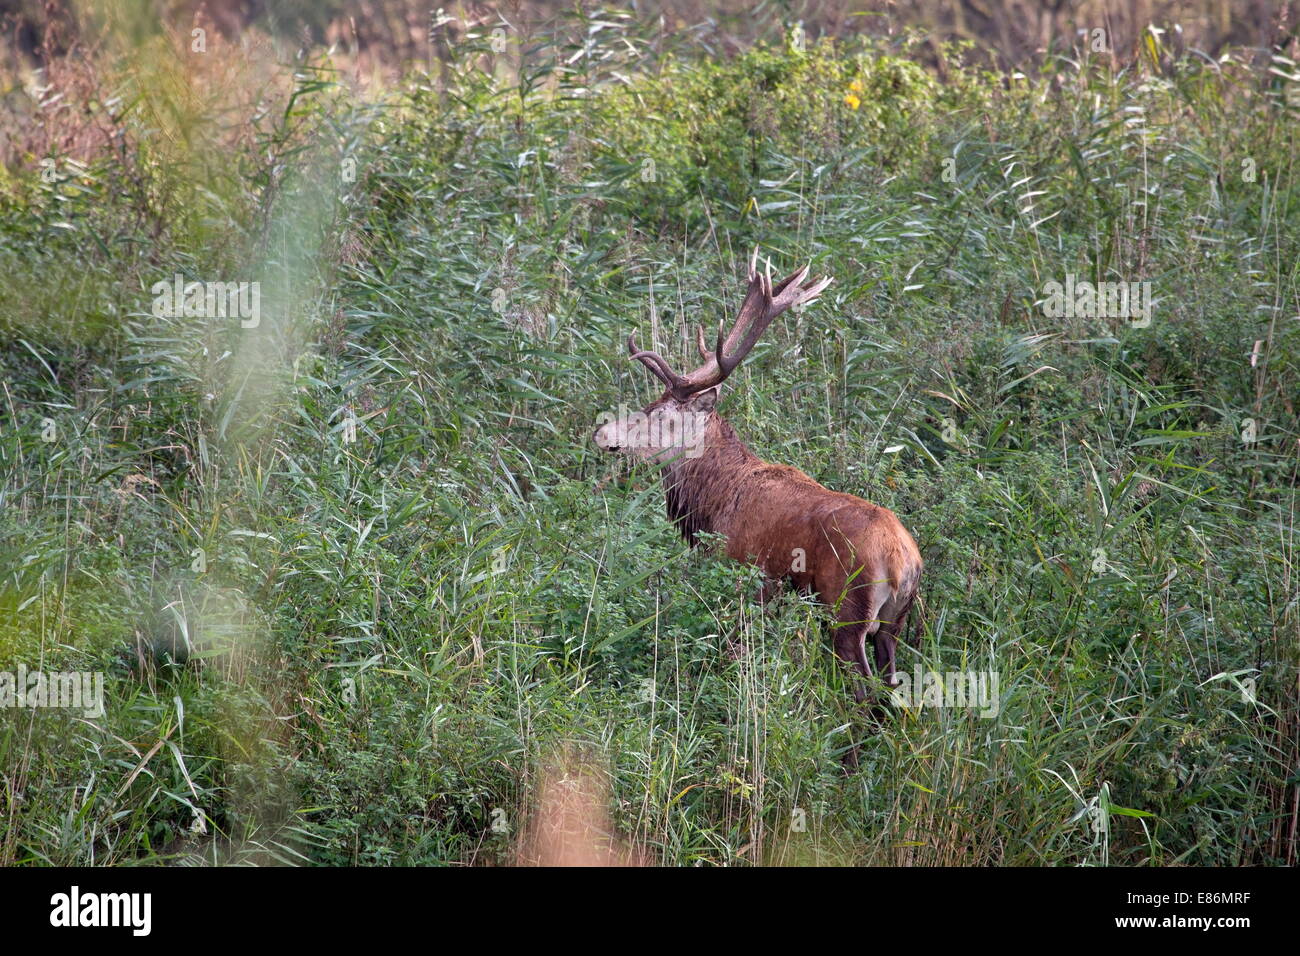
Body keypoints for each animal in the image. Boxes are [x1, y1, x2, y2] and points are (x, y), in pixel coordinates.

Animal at [592, 250, 922, 714]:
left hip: (848, 609)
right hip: (895, 621)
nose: (602, 433)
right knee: (893, 690)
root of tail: (902, 560)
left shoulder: (747, 576)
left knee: (863, 693)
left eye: (661, 415)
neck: (712, 503)